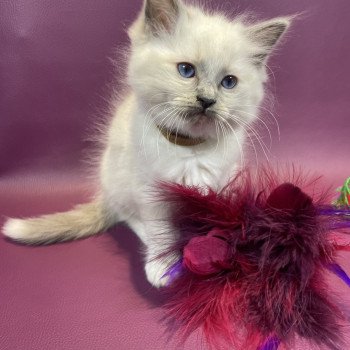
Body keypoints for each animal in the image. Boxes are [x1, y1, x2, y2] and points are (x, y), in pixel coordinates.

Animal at [2, 0, 290, 288]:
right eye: (186, 70)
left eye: (228, 82)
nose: (207, 101)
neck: (190, 148)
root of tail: (105, 194)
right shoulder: (151, 192)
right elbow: (161, 231)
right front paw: (163, 267)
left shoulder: (225, 183)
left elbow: (220, 219)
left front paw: (223, 248)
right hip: (119, 181)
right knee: (127, 216)